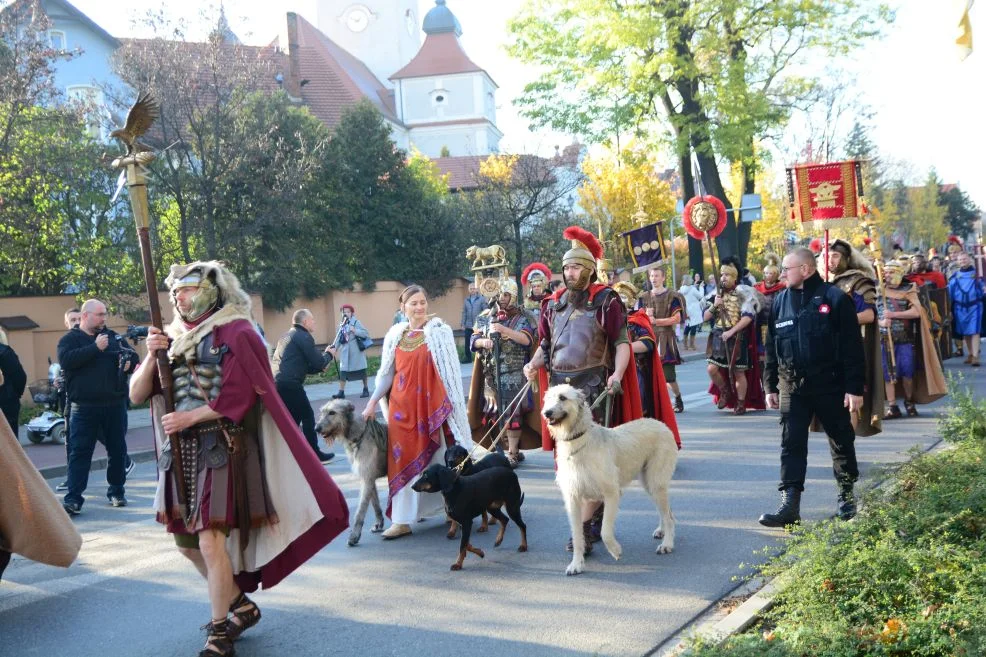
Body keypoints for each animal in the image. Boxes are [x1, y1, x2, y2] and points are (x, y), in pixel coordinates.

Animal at [318, 400, 390, 544]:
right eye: (322, 412)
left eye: (332, 412)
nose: (316, 428)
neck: (357, 434)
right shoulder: (368, 477)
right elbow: (375, 503)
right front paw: (379, 523)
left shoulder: (367, 478)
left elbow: (360, 510)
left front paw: (354, 535)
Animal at [540, 384, 672, 576]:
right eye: (548, 399)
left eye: (563, 397)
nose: (546, 413)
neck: (577, 442)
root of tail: (660, 423)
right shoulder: (573, 498)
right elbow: (578, 534)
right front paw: (576, 563)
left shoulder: (611, 493)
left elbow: (605, 531)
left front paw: (615, 550)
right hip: (648, 482)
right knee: (666, 511)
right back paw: (662, 531)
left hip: (656, 481)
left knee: (669, 515)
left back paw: (667, 544)